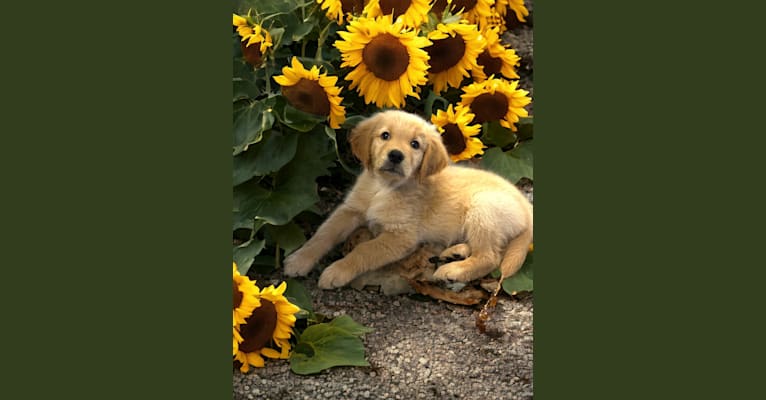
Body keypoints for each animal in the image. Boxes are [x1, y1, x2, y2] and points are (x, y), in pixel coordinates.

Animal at [284, 111, 536, 290]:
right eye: (385, 135)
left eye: (415, 144)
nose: (396, 155)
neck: (383, 188)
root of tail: (526, 204)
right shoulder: (351, 210)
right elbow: (323, 234)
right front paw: (299, 260)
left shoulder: (401, 236)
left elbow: (364, 249)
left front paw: (338, 270)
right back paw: (456, 252)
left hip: (483, 207)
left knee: (490, 257)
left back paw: (453, 270)